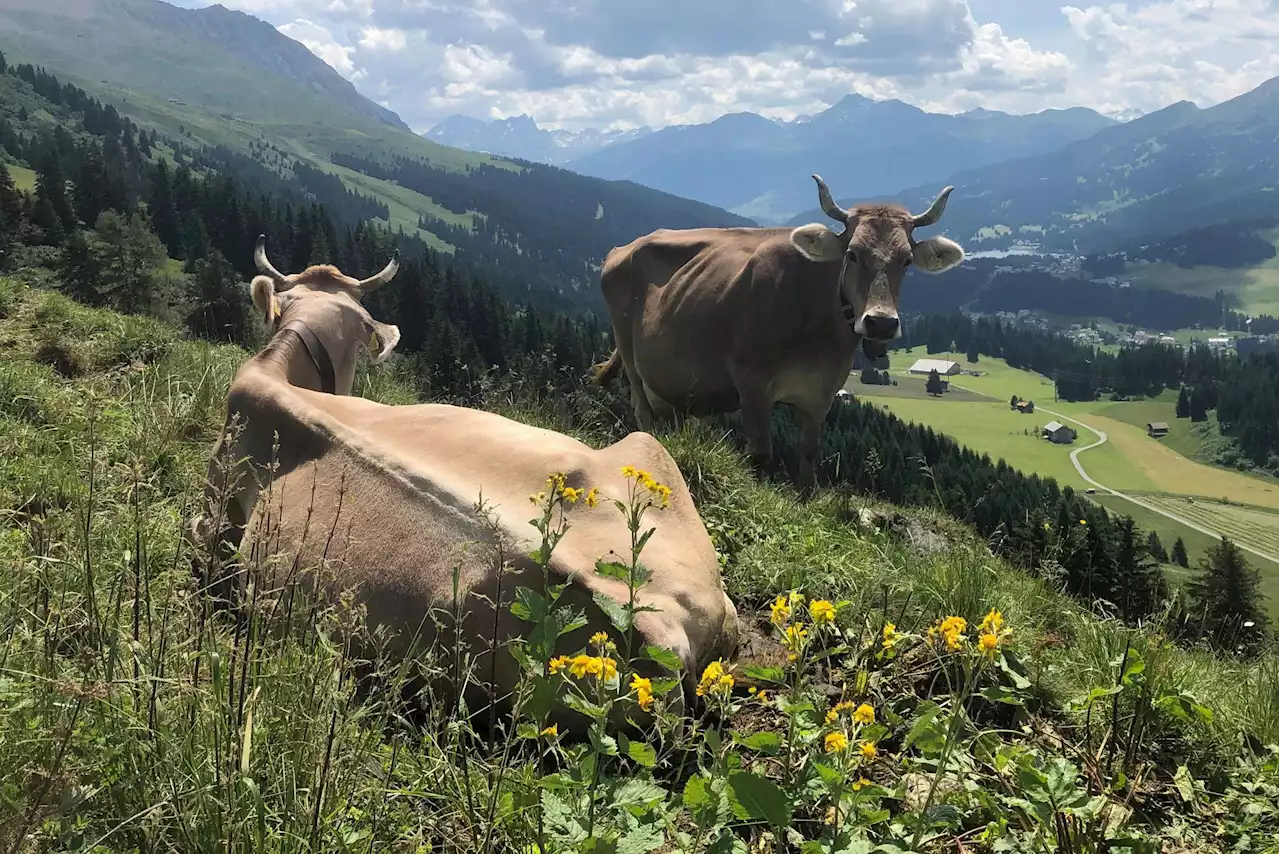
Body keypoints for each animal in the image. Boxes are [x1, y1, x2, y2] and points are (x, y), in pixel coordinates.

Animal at [593, 175, 962, 486]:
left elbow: (809, 455)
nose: (881, 322)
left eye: (906, 260)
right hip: (630, 356)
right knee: (643, 413)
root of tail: (623, 249)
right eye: (853, 254)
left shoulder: (821, 393)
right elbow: (760, 453)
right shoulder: (751, 382)